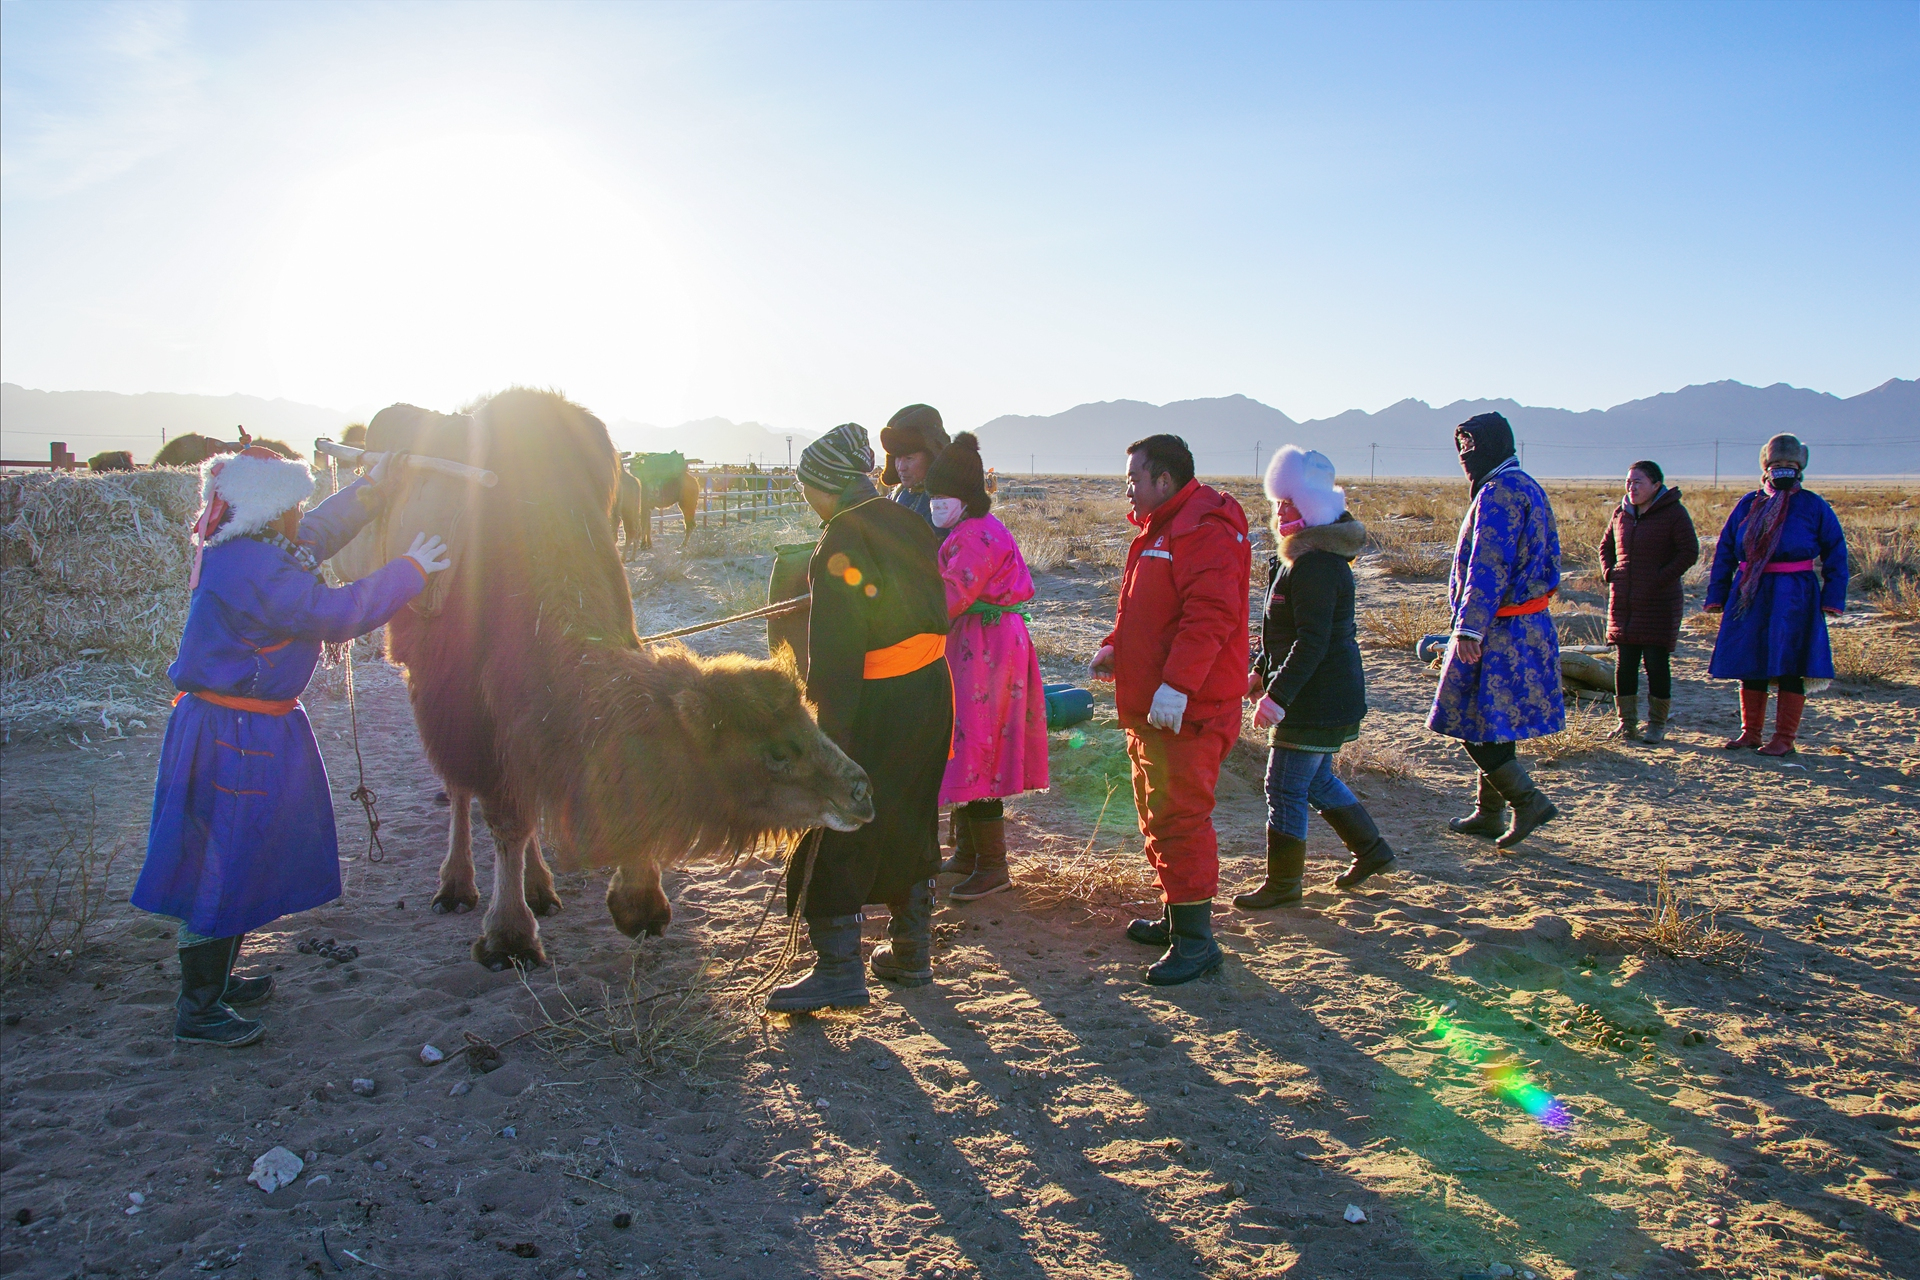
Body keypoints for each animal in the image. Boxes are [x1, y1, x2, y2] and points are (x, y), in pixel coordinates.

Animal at [341, 391, 875, 971]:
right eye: (776, 753)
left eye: (811, 718)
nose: (861, 790)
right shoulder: (472, 704)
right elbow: (506, 817)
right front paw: (509, 938)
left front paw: (639, 905)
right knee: (460, 788)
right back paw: (457, 887)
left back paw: (541, 889)